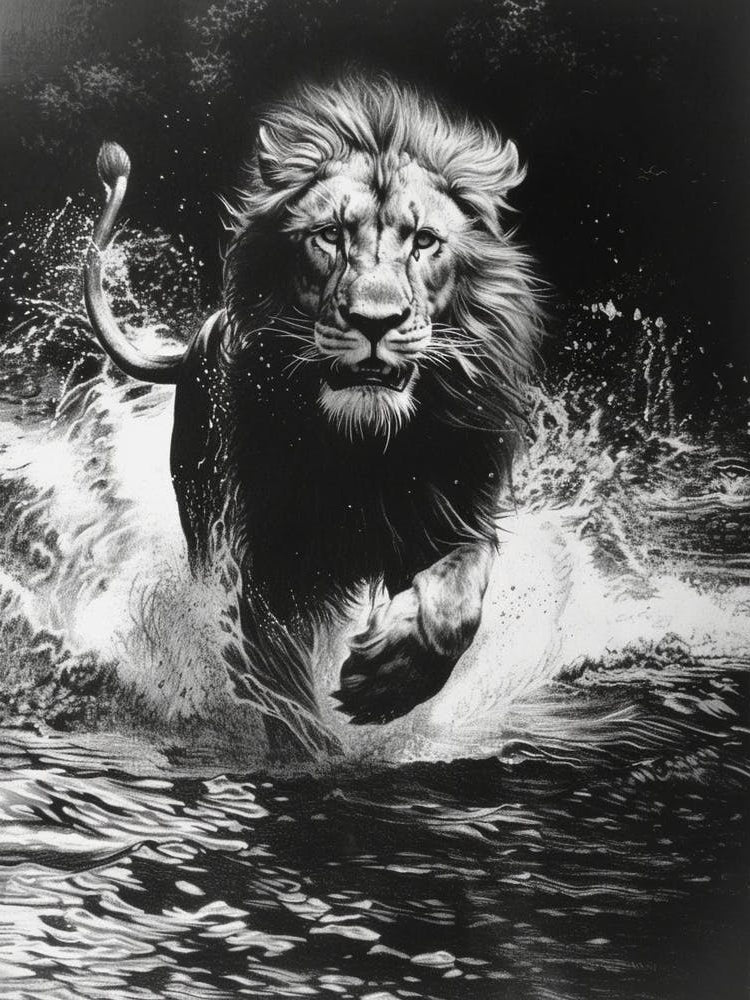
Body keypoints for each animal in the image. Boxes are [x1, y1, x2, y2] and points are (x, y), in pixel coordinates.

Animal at [83, 75, 542, 756]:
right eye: (329, 235)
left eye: (424, 241)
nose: (375, 322)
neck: (364, 449)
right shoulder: (266, 563)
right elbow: (281, 686)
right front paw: (317, 758)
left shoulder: (453, 515)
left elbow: (458, 600)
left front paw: (387, 682)